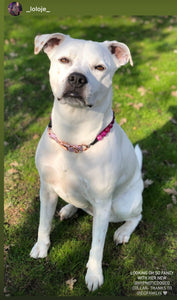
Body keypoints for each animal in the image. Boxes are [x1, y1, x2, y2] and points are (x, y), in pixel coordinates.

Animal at [30, 32, 144, 290]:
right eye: (64, 60)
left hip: (122, 204)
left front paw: (93, 275)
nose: (77, 78)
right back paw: (69, 208)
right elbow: (43, 223)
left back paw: (123, 231)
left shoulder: (102, 203)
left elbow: (97, 246)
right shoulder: (47, 189)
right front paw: (41, 247)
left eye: (99, 67)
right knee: (80, 203)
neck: (74, 134)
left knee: (137, 216)